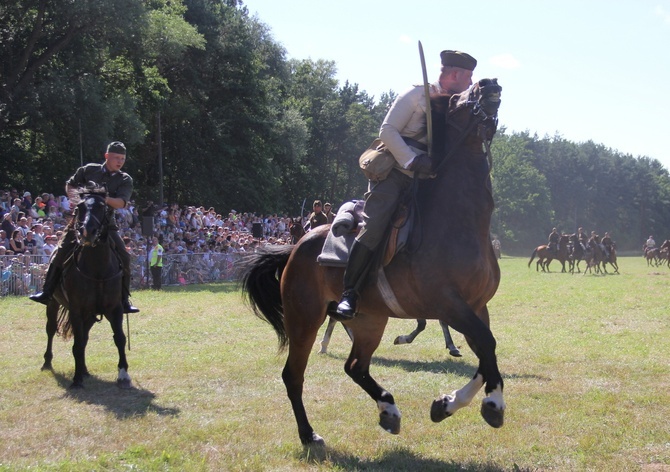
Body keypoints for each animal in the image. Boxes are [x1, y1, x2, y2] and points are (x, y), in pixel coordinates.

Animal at [42, 186, 132, 390]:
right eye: (80, 207)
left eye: (102, 207)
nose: (87, 232)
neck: (98, 269)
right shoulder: (76, 309)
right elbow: (76, 343)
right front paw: (76, 380)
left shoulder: (115, 308)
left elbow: (120, 338)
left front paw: (123, 373)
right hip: (53, 304)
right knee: (51, 329)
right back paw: (48, 362)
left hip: (90, 315)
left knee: (84, 337)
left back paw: (84, 370)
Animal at [242, 80, 504, 446]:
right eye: (456, 99)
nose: (490, 84)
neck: (458, 221)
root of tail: (295, 247)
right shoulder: (449, 304)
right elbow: (487, 347)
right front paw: (493, 403)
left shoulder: (478, 307)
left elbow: (485, 354)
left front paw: (446, 404)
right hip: (304, 318)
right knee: (293, 374)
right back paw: (309, 435)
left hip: (370, 319)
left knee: (355, 366)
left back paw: (388, 409)